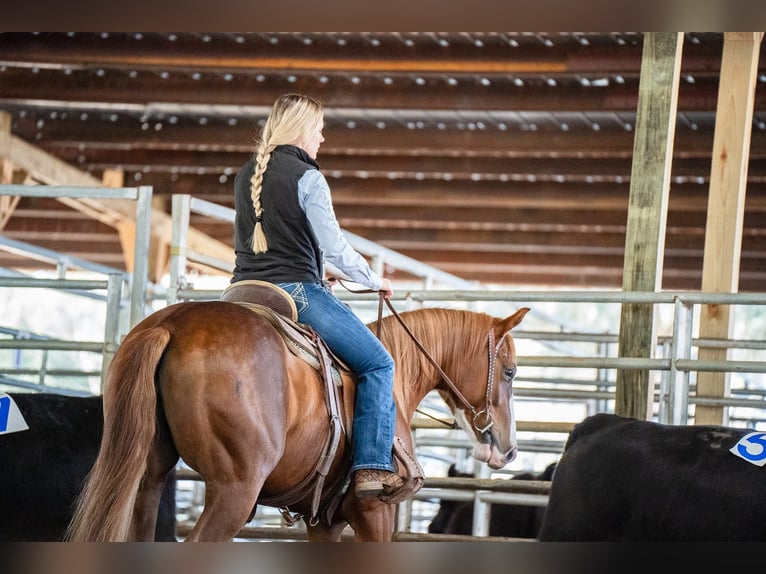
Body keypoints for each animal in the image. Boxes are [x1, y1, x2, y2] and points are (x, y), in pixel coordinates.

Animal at [66, 302, 532, 544]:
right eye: (510, 371)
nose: (508, 448)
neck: (396, 377)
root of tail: (171, 324)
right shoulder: (375, 513)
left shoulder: (323, 521)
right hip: (235, 489)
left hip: (149, 479)